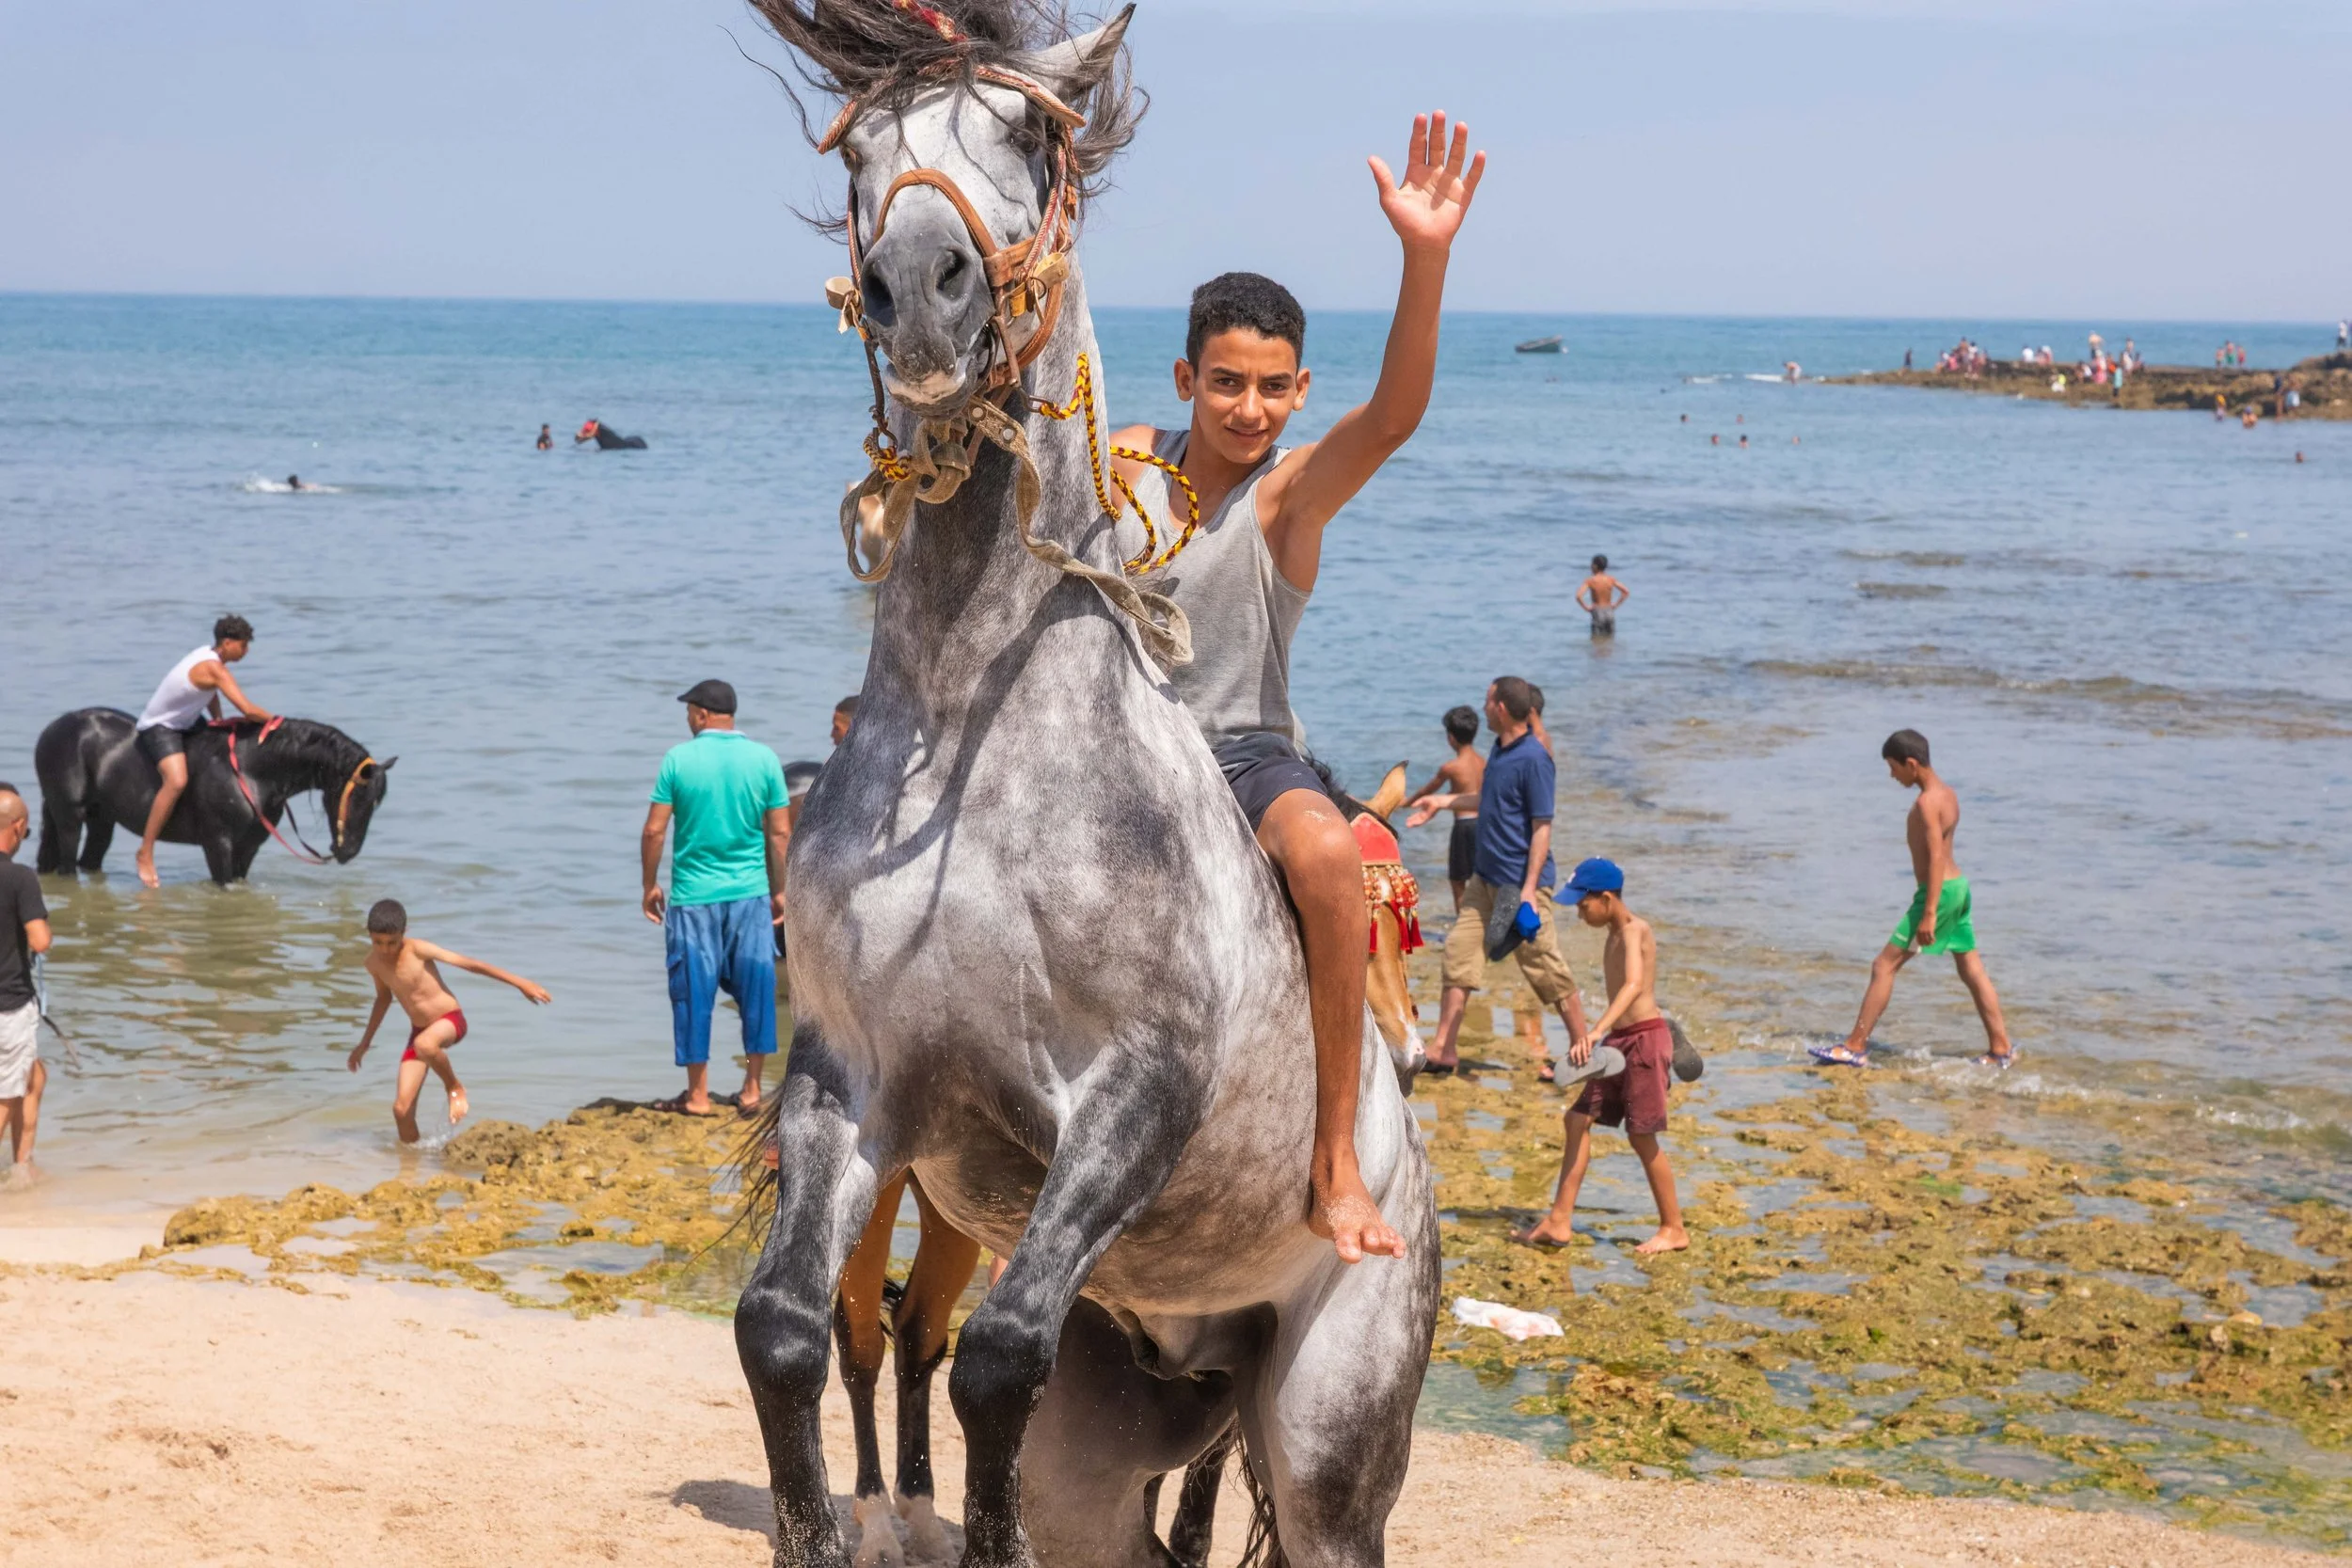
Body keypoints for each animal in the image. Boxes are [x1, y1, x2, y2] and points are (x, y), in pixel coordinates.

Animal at [34, 710, 392, 885]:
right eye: (358, 797)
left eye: (376, 803)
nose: (348, 851)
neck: (251, 771)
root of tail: (51, 730)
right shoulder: (217, 842)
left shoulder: (249, 847)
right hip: (69, 816)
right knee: (68, 863)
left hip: (102, 820)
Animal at [821, 763, 1428, 1568]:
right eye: (1364, 928)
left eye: (1403, 928)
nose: (1409, 1053)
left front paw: (1190, 1534)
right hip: (887, 1184)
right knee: (861, 1341)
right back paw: (879, 1523)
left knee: (919, 1334)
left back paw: (919, 1514)